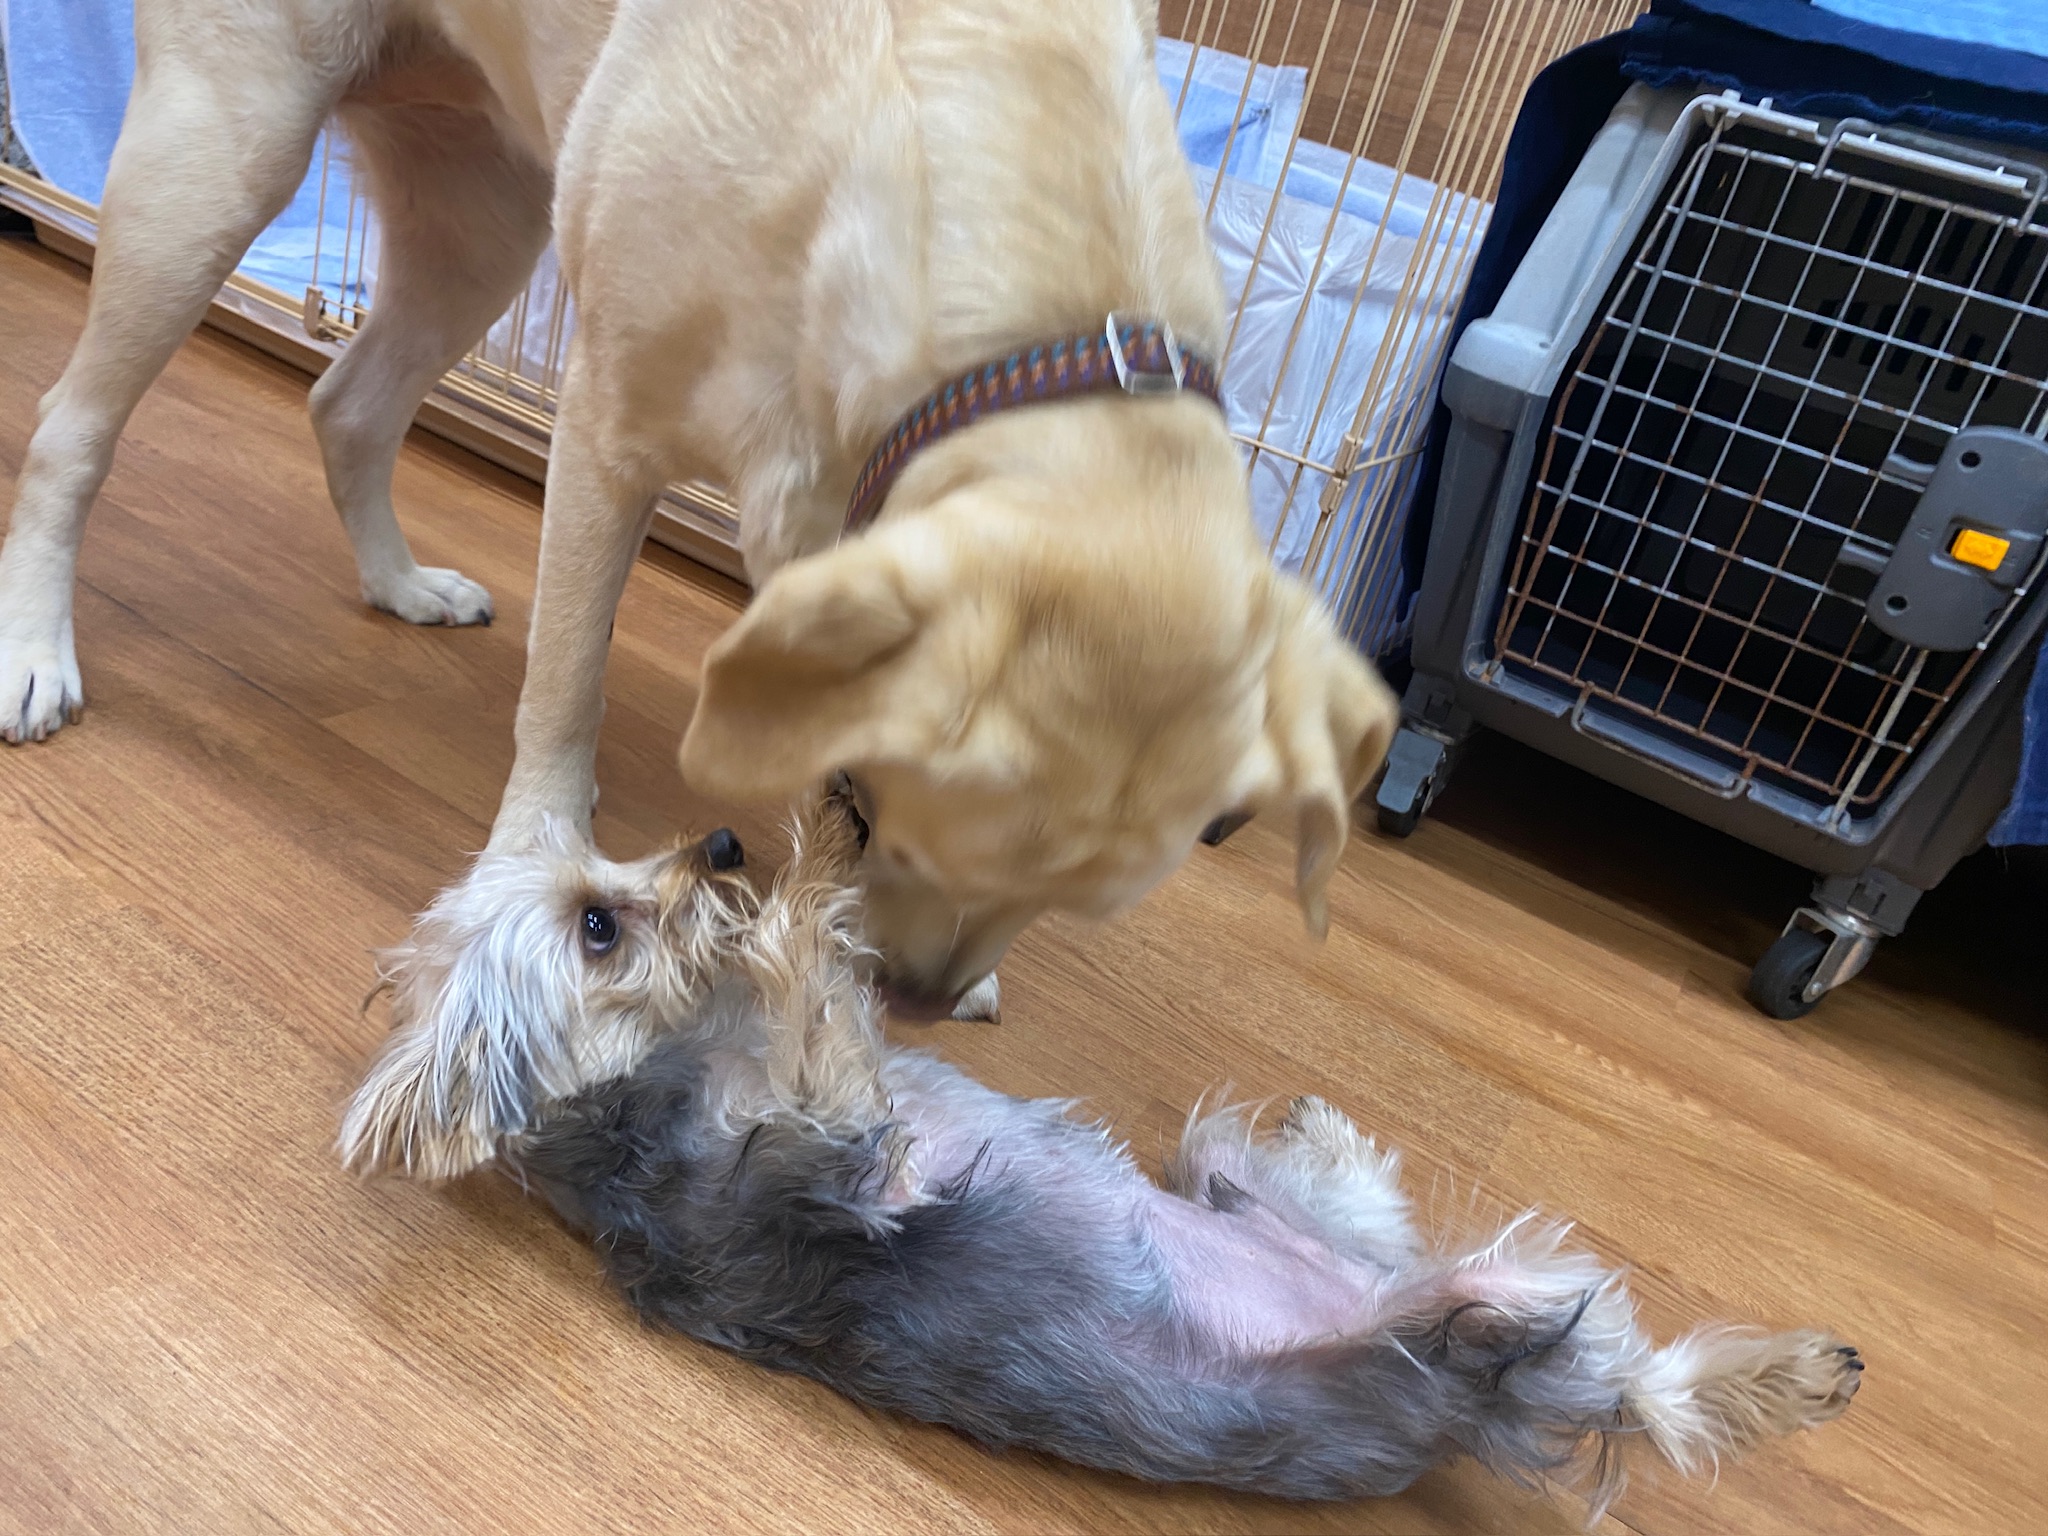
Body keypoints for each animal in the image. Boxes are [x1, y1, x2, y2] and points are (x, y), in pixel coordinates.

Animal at [0, 0, 1398, 1016]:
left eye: (1074, 903)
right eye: (869, 815)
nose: (917, 1000)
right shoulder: (607, 433)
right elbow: (567, 683)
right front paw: (537, 847)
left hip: (483, 216)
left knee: (349, 401)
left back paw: (398, 582)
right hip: (220, 154)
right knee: (71, 428)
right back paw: (35, 649)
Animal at [340, 787, 1862, 1510]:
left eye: (605, 869)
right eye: (599, 928)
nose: (715, 842)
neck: (662, 1073)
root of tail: (1445, 1411)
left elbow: (824, 985)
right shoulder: (847, 1157)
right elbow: (813, 992)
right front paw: (808, 873)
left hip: (1244, 1189)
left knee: (1324, 1193)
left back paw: (1328, 1128)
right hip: (1456, 1332)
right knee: (1623, 1379)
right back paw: (1780, 1373)